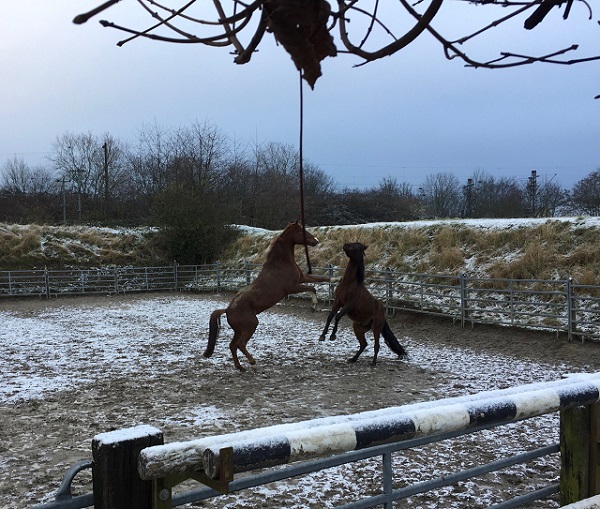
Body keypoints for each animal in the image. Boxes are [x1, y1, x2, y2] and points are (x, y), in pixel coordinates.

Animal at [205, 221, 328, 370]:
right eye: (301, 231)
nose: (316, 241)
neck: (281, 263)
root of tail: (227, 310)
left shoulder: (302, 278)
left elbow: (319, 282)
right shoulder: (292, 288)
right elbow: (312, 288)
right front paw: (313, 306)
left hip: (239, 330)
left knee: (232, 345)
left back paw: (240, 367)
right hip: (251, 326)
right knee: (240, 344)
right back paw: (252, 362)